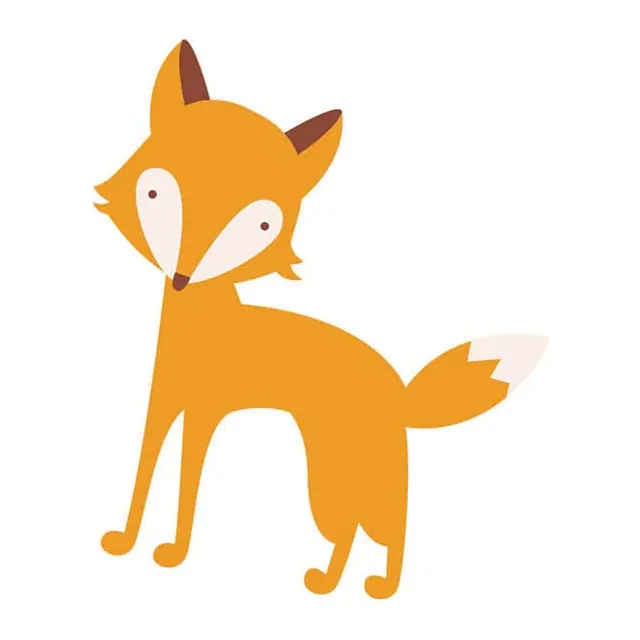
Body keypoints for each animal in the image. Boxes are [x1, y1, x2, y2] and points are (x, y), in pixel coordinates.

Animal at [95, 40, 548, 599]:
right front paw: (125, 541)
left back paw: (379, 587)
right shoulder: (161, 408)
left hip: (345, 476)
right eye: (156, 194)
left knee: (389, 528)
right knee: (351, 528)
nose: (181, 276)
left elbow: (185, 487)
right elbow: (142, 476)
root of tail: (400, 390)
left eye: (261, 225)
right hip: (331, 472)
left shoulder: (201, 415)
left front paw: (174, 554)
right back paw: (329, 583)